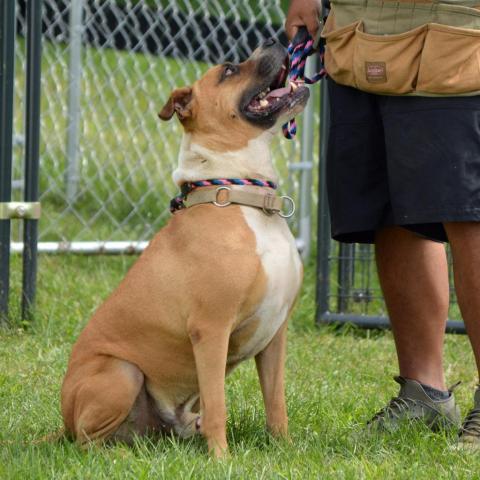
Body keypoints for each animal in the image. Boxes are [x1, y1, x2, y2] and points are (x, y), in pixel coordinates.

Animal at [61, 38, 308, 458]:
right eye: (229, 70)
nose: (276, 40)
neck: (243, 194)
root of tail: (60, 425)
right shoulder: (211, 330)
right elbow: (218, 405)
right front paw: (222, 459)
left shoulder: (275, 333)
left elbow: (276, 403)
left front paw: (286, 449)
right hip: (122, 372)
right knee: (86, 442)